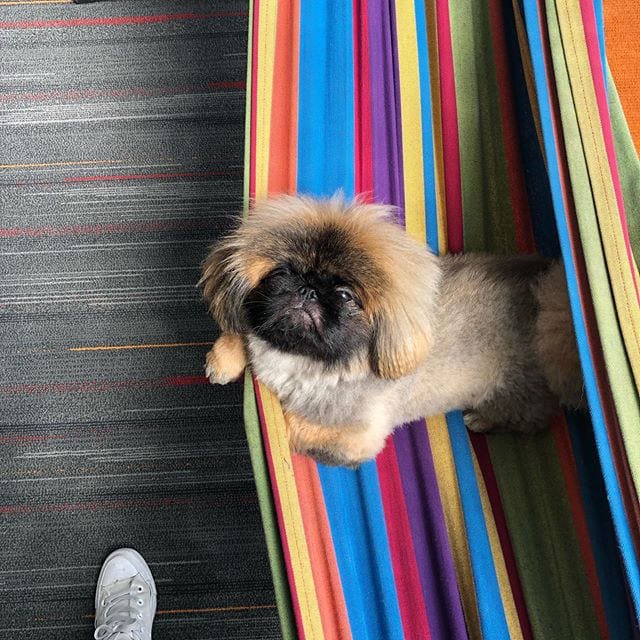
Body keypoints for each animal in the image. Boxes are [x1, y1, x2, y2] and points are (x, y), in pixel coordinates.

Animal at [200, 194, 584, 464]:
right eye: (281, 274)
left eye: (344, 295)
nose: (308, 290)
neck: (306, 358)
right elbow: (244, 333)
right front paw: (224, 360)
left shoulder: (358, 435)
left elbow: (297, 427)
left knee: (533, 417)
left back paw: (484, 419)